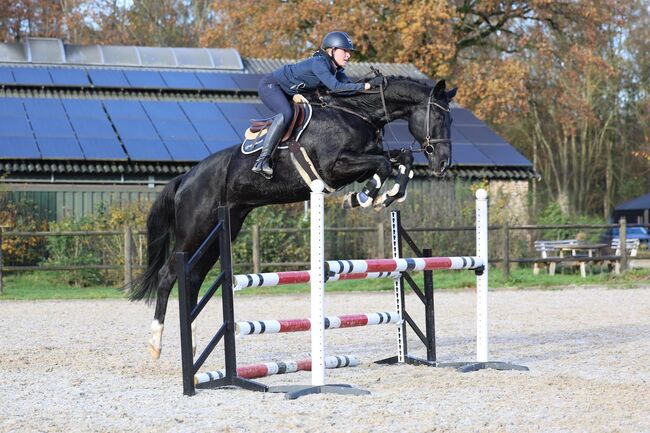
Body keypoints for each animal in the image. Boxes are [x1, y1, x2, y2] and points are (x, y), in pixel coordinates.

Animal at [129, 77, 456, 358]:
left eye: (451, 120)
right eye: (439, 119)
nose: (442, 164)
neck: (358, 113)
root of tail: (185, 178)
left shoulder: (363, 160)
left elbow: (399, 159)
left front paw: (388, 196)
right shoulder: (335, 167)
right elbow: (383, 165)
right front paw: (364, 196)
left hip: (220, 230)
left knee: (193, 278)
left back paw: (194, 344)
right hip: (195, 231)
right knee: (169, 275)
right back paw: (156, 344)